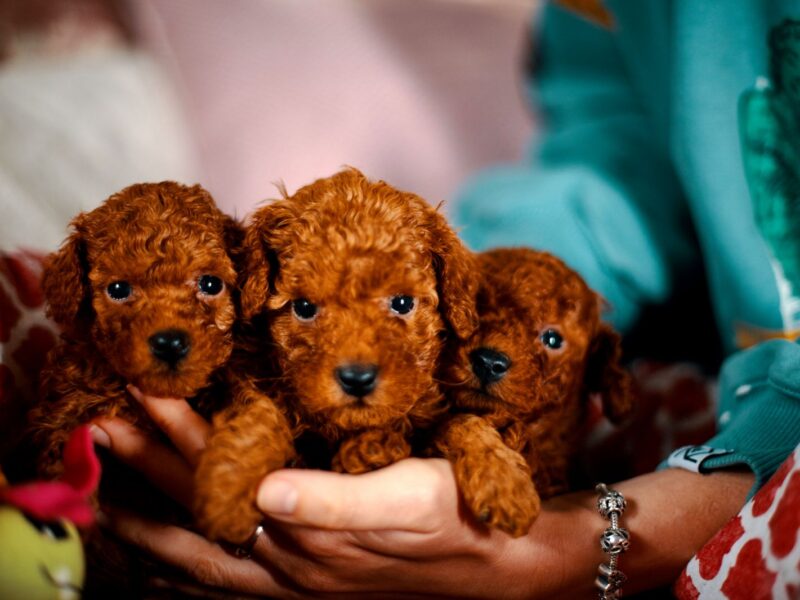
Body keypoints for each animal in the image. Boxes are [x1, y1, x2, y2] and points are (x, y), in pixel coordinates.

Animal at [196, 169, 478, 544]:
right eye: (304, 307)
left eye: (403, 303)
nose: (357, 379)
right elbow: (260, 411)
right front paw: (229, 490)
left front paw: (373, 447)